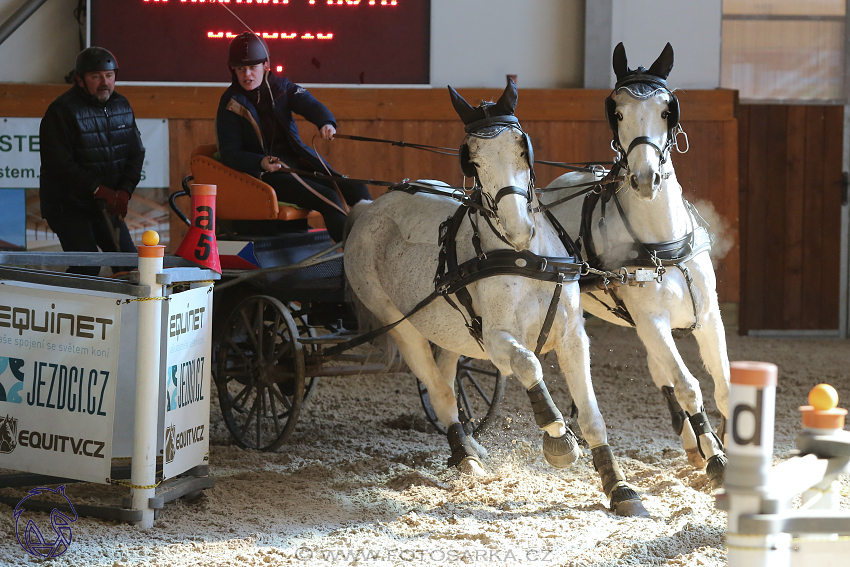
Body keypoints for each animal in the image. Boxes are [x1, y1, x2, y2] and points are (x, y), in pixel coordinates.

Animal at [344, 80, 648, 520]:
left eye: (522, 146)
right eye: (472, 159)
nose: (519, 227)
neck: (527, 257)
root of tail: (371, 207)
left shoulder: (573, 336)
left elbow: (592, 414)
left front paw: (619, 487)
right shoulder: (495, 340)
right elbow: (528, 364)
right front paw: (557, 437)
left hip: (451, 330)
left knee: (447, 377)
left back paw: (468, 445)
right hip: (397, 321)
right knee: (439, 390)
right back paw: (465, 456)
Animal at [548, 44, 724, 488]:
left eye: (666, 110)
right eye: (619, 111)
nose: (646, 179)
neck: (663, 243)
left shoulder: (709, 316)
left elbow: (723, 385)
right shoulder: (651, 320)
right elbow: (688, 385)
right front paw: (717, 458)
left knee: (659, 371)